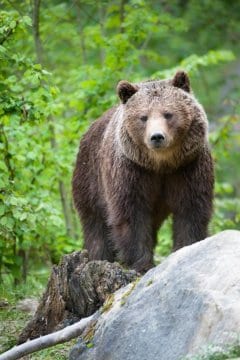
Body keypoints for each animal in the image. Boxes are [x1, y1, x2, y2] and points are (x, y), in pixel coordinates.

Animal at [71, 71, 214, 272]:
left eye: (168, 114)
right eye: (143, 117)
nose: (157, 137)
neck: (161, 164)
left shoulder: (188, 167)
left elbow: (191, 208)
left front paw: (186, 248)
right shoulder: (131, 171)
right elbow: (132, 215)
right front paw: (141, 263)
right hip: (90, 180)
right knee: (95, 226)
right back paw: (100, 257)